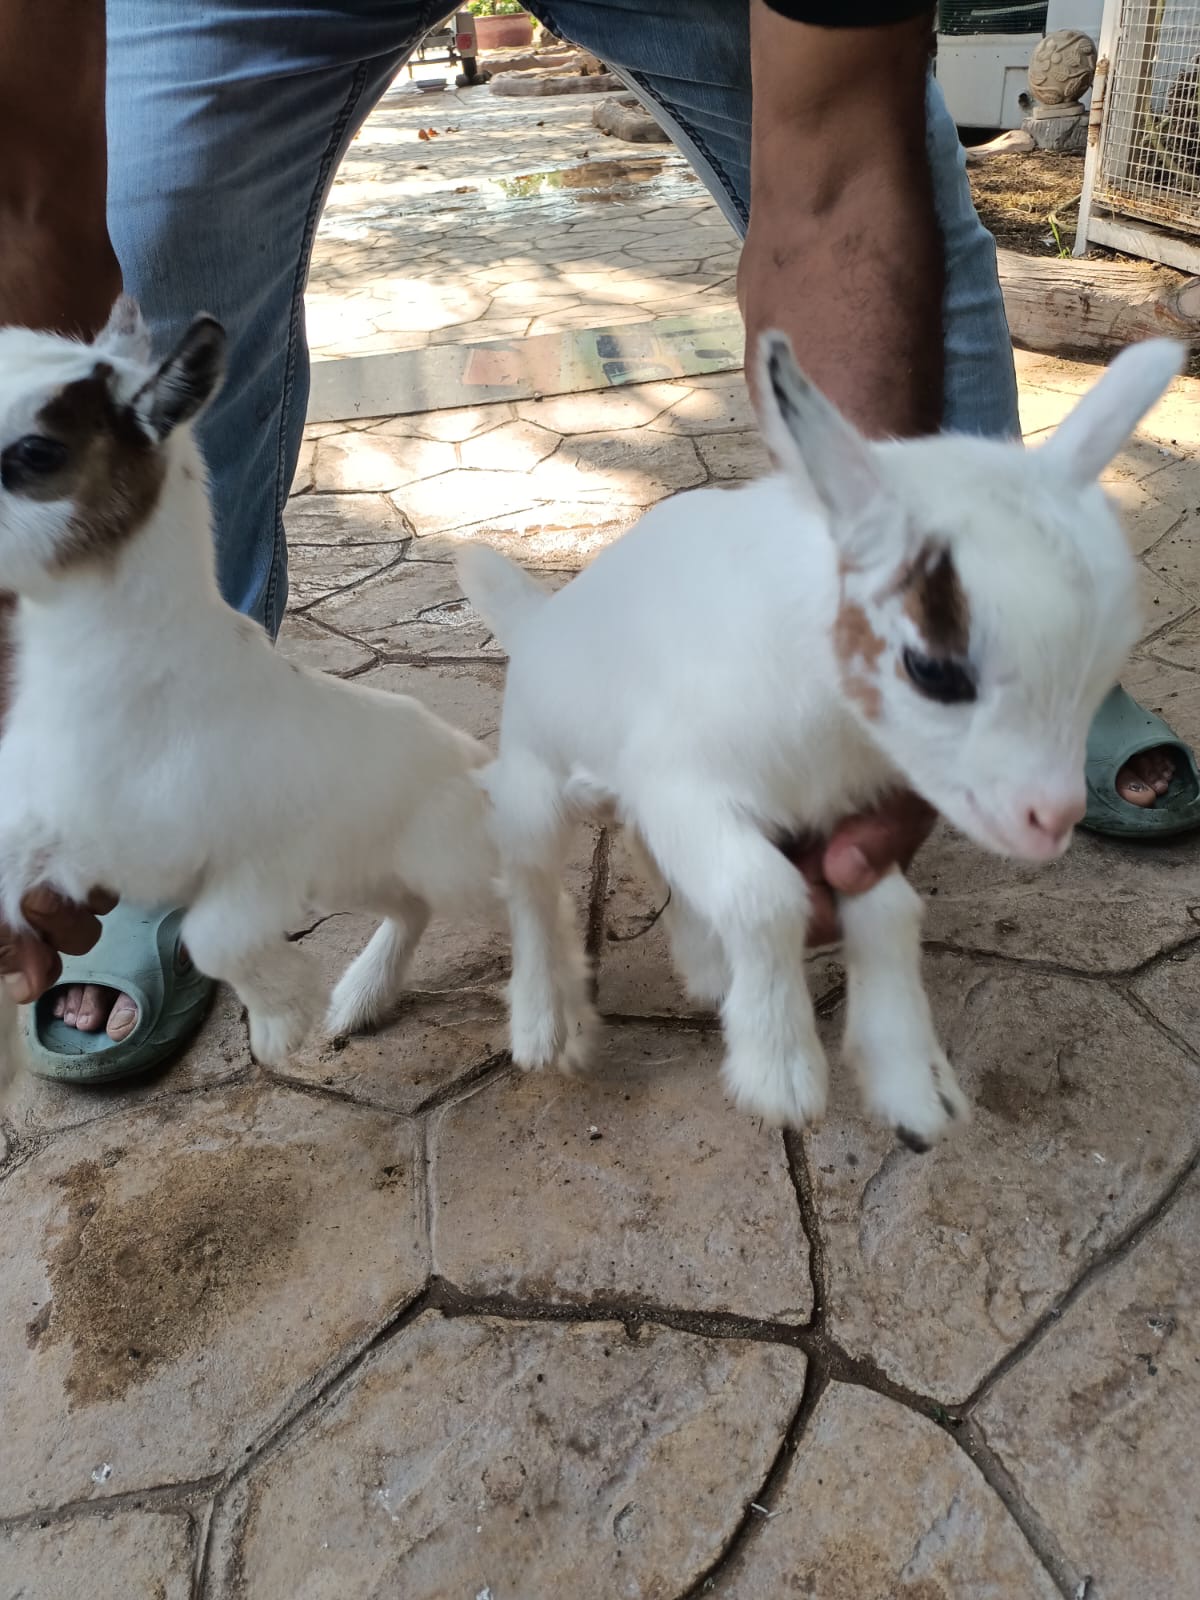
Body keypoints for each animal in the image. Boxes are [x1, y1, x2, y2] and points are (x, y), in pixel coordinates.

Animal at [0, 299, 499, 1092]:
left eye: (40, 452)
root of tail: (467, 754)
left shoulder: (255, 862)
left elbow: (211, 938)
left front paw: (281, 1020)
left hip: (440, 860)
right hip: (354, 867)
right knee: (409, 907)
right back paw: (360, 999)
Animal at [458, 331, 1183, 1149]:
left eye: (1102, 669)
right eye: (933, 669)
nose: (1052, 820)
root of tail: (537, 625)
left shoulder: (843, 816)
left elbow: (889, 912)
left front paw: (914, 1085)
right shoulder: (684, 787)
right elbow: (765, 897)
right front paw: (780, 1071)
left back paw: (706, 969)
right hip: (534, 782)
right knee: (528, 880)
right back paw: (545, 1025)